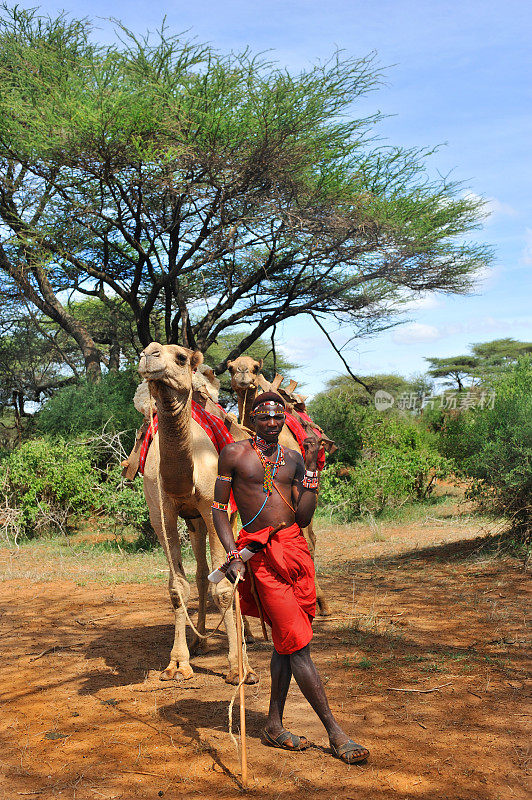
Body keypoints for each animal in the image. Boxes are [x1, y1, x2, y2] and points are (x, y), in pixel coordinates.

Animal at [139, 340, 258, 684]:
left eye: (181, 358)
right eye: (144, 350)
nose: (148, 354)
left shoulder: (212, 507)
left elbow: (225, 589)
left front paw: (238, 668)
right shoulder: (162, 514)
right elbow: (178, 587)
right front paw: (178, 664)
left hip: (231, 514)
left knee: (236, 568)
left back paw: (247, 636)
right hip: (194, 523)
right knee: (203, 571)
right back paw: (200, 640)